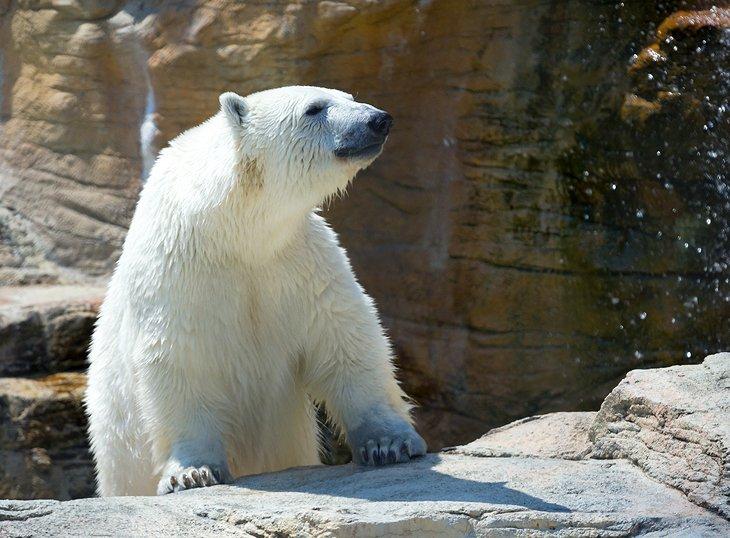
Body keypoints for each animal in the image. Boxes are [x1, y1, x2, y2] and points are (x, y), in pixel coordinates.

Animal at [84, 86, 427, 496]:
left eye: (349, 96)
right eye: (314, 108)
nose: (379, 120)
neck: (233, 230)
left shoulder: (300, 260)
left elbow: (344, 336)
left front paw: (390, 443)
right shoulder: (176, 270)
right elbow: (180, 357)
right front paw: (193, 472)